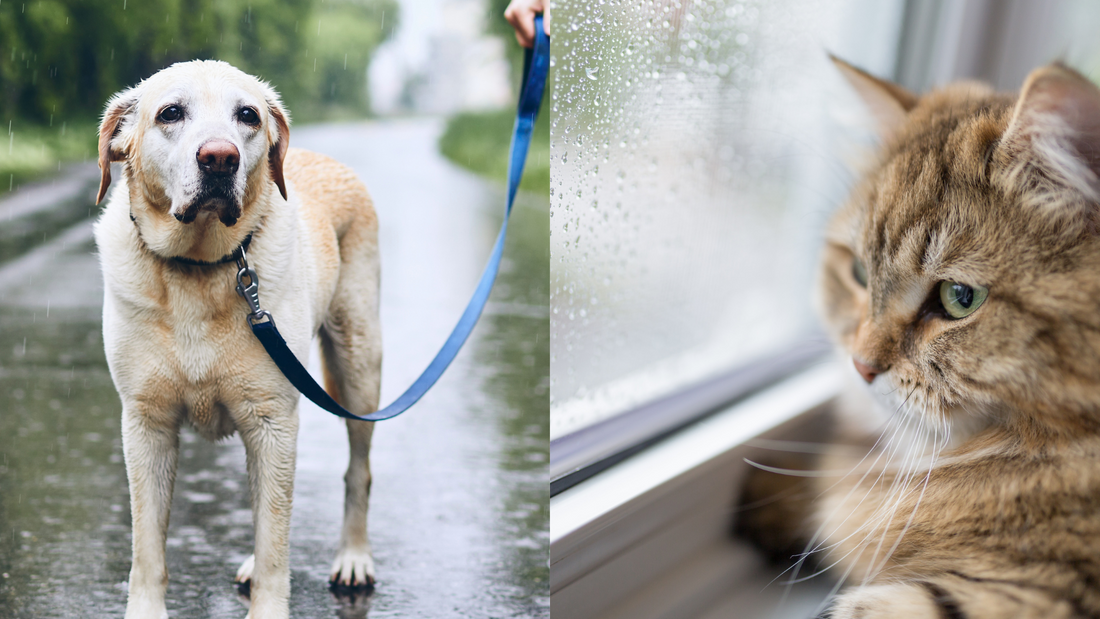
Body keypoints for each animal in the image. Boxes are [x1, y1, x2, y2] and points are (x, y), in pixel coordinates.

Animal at [95, 59, 387, 619]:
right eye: (170, 113)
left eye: (247, 115)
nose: (219, 157)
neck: (198, 267)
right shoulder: (145, 423)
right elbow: (147, 545)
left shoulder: (272, 421)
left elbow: (275, 540)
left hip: (358, 364)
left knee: (357, 472)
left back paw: (354, 557)